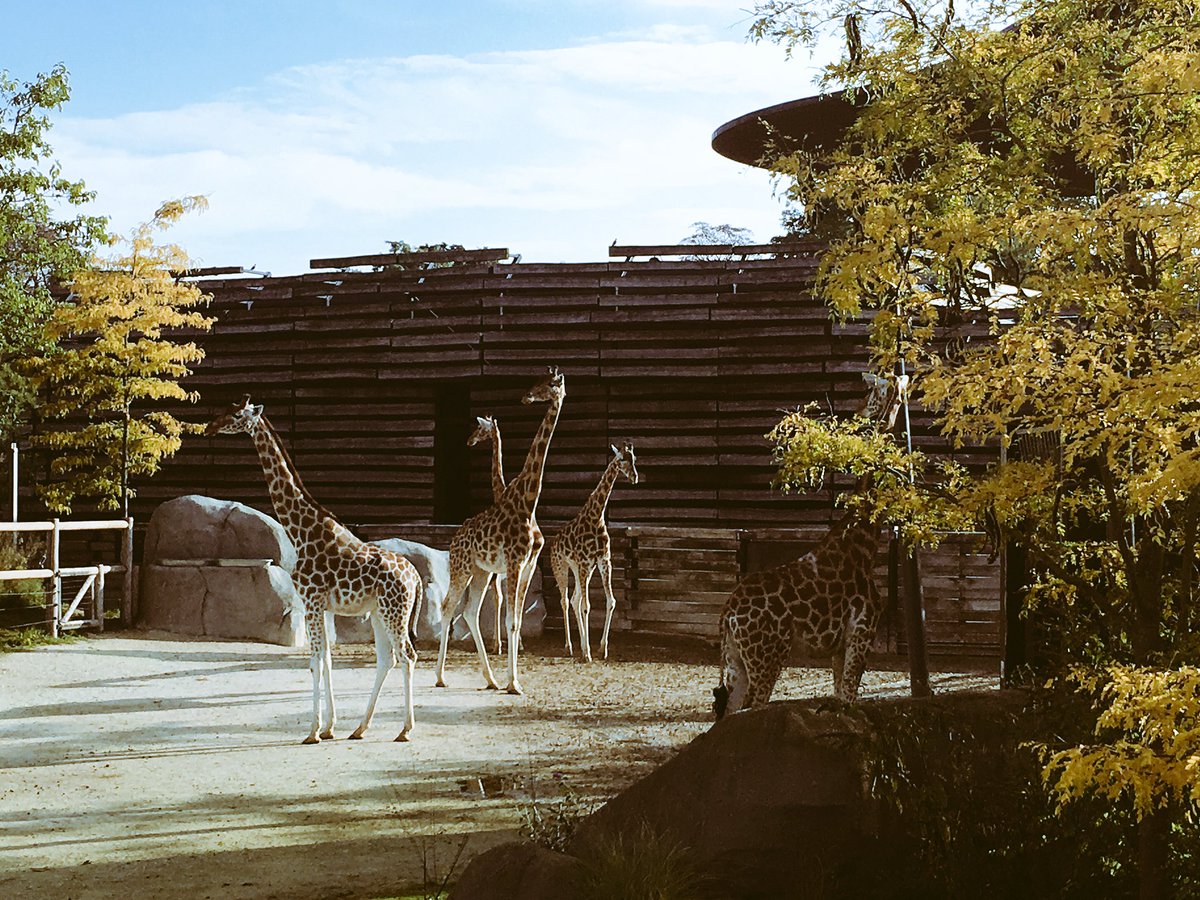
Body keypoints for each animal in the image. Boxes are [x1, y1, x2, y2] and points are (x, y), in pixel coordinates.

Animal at [205, 396, 423, 744]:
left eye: (236, 415)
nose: (209, 427)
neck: (301, 531)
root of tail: (415, 577)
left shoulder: (310, 601)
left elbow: (314, 662)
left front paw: (313, 731)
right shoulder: (322, 606)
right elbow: (328, 660)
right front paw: (330, 726)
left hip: (394, 612)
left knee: (408, 656)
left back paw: (404, 729)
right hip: (379, 612)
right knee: (387, 659)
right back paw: (360, 728)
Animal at [466, 414, 545, 653]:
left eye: (480, 428)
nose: (470, 441)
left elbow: (499, 597)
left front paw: (499, 644)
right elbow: (502, 598)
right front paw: (504, 643)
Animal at [549, 442, 640, 662]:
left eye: (634, 458)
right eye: (622, 459)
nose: (634, 477)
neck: (597, 516)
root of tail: (552, 543)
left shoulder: (602, 560)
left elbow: (610, 601)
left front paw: (601, 649)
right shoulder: (585, 562)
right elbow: (587, 606)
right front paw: (589, 652)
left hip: (581, 569)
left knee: (575, 599)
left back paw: (581, 646)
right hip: (561, 567)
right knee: (565, 601)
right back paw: (569, 647)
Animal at [712, 373, 904, 717]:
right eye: (884, 389)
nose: (903, 375)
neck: (864, 544)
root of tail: (728, 615)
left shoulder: (840, 646)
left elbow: (841, 696)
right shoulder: (861, 633)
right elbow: (849, 698)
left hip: (735, 660)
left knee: (729, 711)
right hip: (766, 657)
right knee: (754, 705)